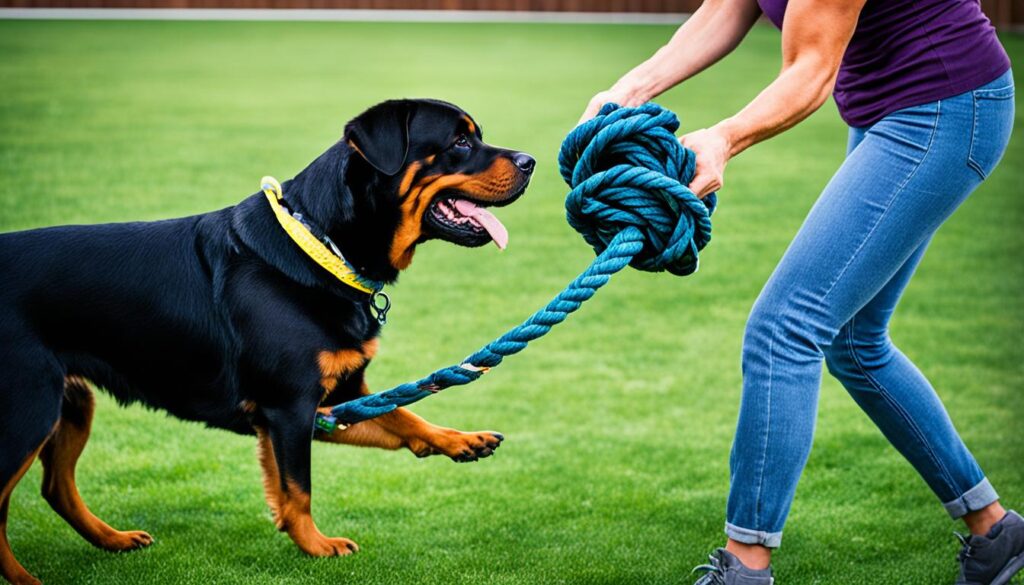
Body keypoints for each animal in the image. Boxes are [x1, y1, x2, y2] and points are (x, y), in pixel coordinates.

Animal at [0, 98, 540, 581]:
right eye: (460, 142)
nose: (530, 162)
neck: (322, 245)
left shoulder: (332, 401)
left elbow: (404, 416)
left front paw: (459, 439)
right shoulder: (289, 408)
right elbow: (299, 488)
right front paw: (316, 545)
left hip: (69, 403)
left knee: (56, 486)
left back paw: (110, 539)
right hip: (28, 411)